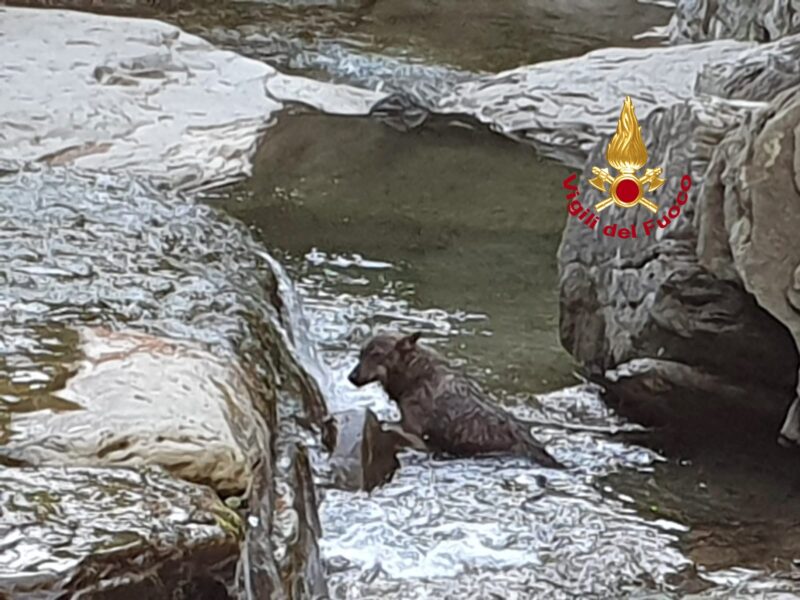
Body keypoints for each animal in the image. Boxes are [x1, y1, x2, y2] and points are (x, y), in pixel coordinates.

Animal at [347, 332, 564, 469]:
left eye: (376, 355)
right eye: (360, 354)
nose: (351, 377)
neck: (417, 376)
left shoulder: (416, 434)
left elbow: (387, 424)